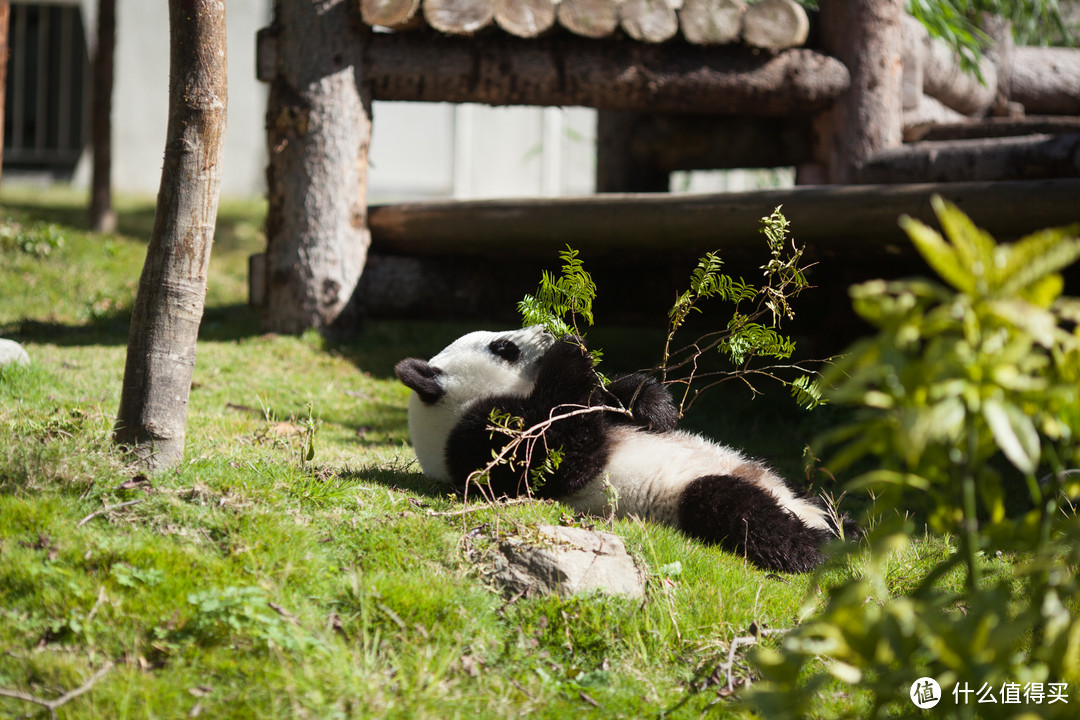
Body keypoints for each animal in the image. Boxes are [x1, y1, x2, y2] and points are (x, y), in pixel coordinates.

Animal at [397, 328, 851, 574]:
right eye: (504, 347)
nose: (546, 329)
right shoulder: (478, 444)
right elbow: (559, 453)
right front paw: (570, 349)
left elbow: (612, 402)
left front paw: (655, 406)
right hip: (690, 496)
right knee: (736, 508)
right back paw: (816, 545)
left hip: (773, 472)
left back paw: (845, 527)